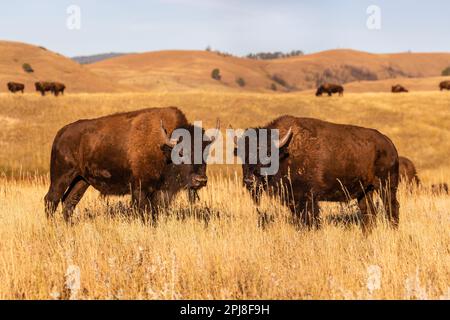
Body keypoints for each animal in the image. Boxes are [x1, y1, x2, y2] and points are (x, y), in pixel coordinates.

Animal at [44, 107, 219, 222]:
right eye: (181, 153)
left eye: (205, 153)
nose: (200, 180)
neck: (163, 149)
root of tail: (61, 133)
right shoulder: (140, 190)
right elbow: (142, 212)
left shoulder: (161, 193)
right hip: (61, 177)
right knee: (51, 200)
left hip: (81, 180)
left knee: (68, 202)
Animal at [234, 115, 400, 232]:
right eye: (242, 155)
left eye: (267, 154)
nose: (249, 181)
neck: (285, 152)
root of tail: (389, 144)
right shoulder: (294, 200)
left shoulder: (308, 198)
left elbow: (309, 220)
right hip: (364, 191)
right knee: (368, 212)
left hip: (386, 186)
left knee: (391, 207)